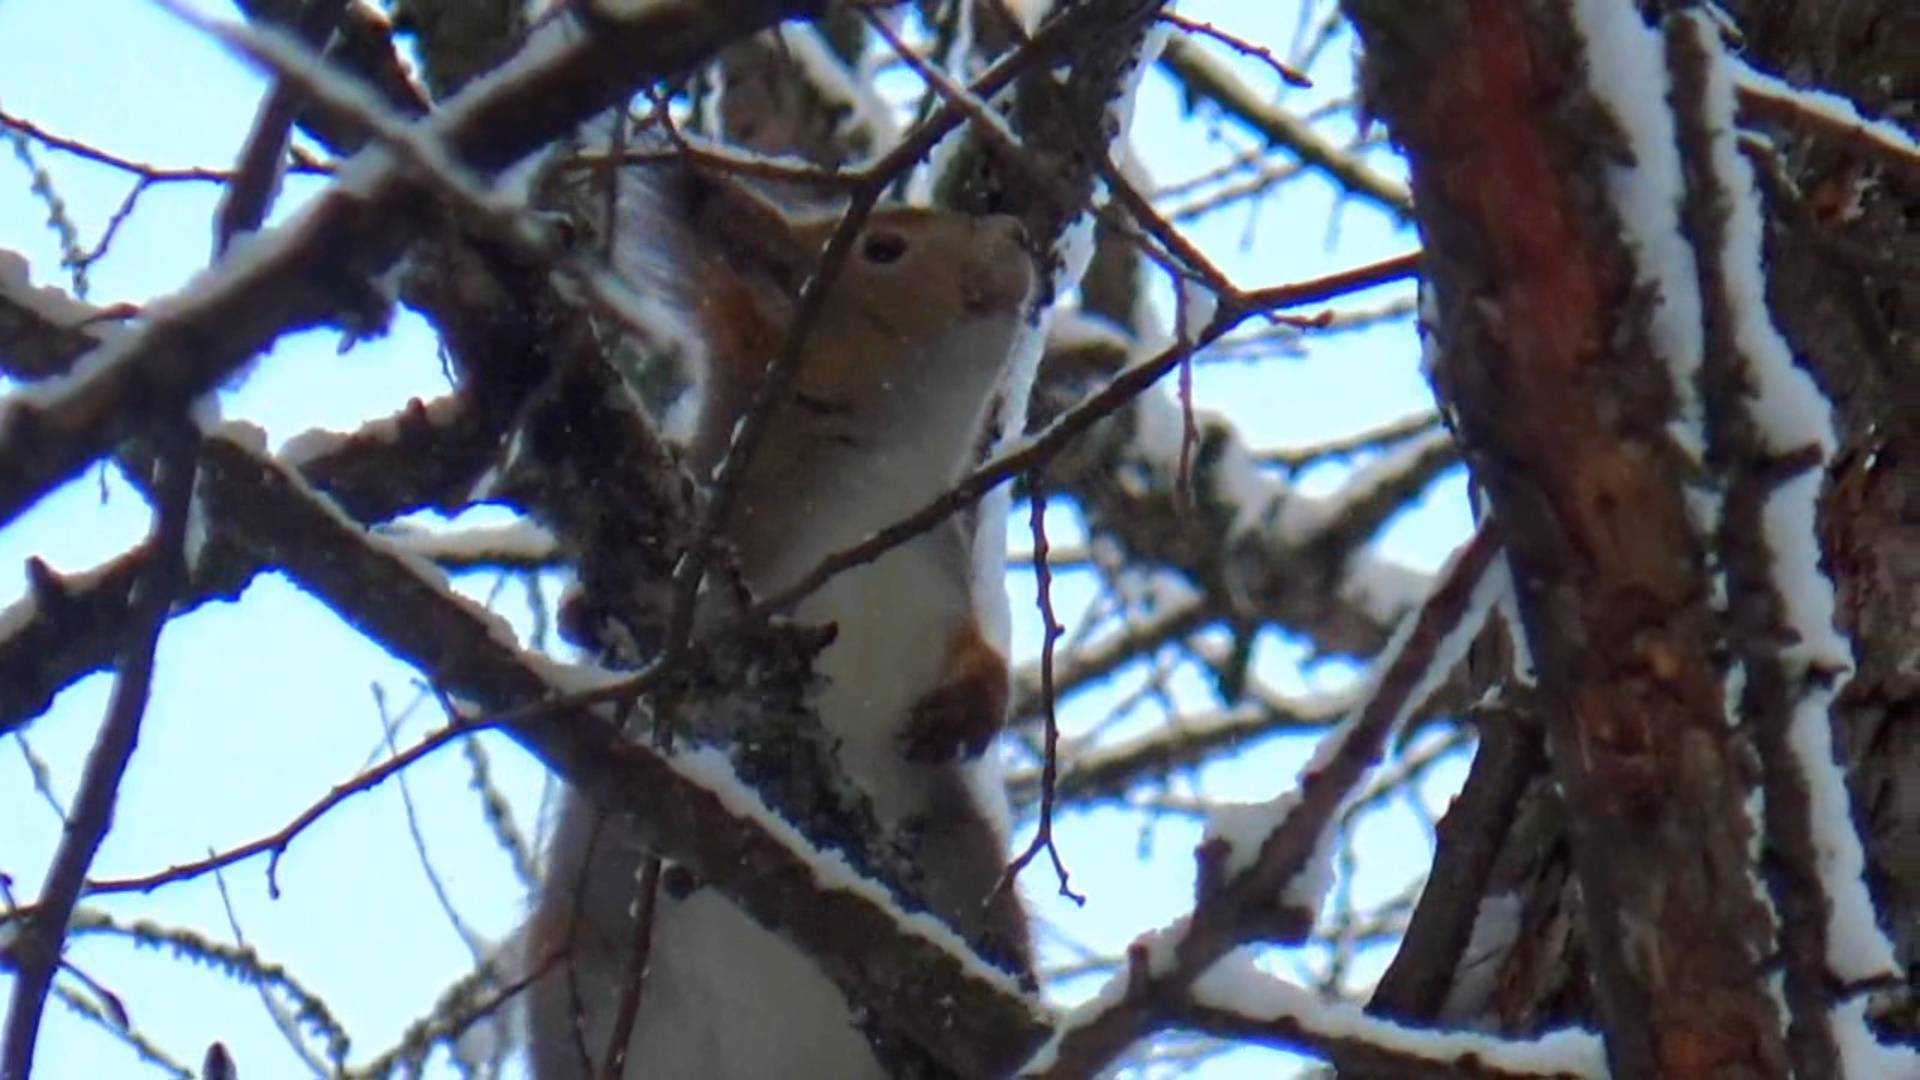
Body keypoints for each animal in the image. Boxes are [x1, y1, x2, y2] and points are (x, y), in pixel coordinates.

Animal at [522, 155, 1036, 1068]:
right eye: (883, 247)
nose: (1015, 233)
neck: (879, 479)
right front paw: (588, 617)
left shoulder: (943, 583)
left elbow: (981, 658)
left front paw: (967, 711)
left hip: (967, 872)